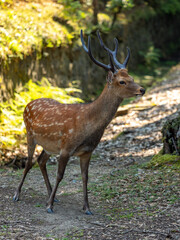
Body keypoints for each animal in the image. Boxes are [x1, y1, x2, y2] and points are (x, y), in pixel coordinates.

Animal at [13, 29, 145, 215]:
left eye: (131, 77)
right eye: (122, 81)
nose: (142, 89)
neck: (88, 126)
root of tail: (28, 104)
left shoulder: (87, 151)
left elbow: (85, 177)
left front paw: (87, 207)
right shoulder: (67, 147)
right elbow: (60, 175)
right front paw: (49, 206)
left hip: (49, 145)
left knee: (41, 161)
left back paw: (51, 195)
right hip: (30, 135)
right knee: (28, 163)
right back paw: (18, 194)